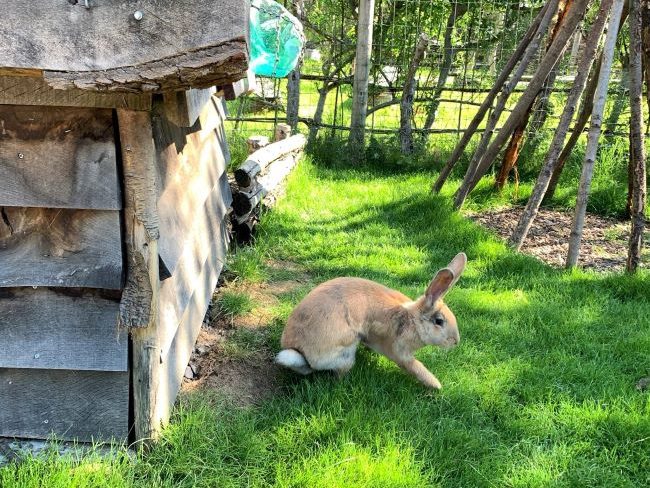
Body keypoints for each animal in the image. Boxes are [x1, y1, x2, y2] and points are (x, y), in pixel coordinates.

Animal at [274, 252, 466, 388]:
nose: (456, 341)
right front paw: (436, 385)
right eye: (439, 321)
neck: (411, 320)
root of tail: (299, 352)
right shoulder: (401, 353)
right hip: (346, 351)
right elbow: (415, 367)